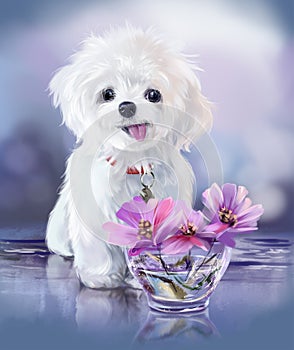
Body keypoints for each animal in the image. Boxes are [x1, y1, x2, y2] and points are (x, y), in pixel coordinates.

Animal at [46, 26, 212, 288]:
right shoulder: (93, 212)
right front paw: (101, 277)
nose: (126, 106)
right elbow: (97, 247)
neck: (132, 161)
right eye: (107, 93)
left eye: (153, 94)